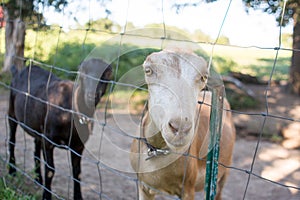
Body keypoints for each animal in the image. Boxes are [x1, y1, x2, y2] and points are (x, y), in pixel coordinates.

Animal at [7, 58, 112, 200]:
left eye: (105, 75)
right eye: (83, 74)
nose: (92, 95)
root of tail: (19, 71)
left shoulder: (78, 145)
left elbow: (77, 173)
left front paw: (78, 197)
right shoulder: (48, 141)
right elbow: (50, 170)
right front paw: (46, 196)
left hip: (37, 126)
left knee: (35, 149)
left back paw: (38, 179)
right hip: (12, 113)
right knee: (12, 140)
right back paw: (12, 171)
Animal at [130, 49, 236, 199]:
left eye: (203, 77)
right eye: (148, 70)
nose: (180, 128)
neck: (157, 150)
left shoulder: (187, 189)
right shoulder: (144, 186)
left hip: (223, 171)